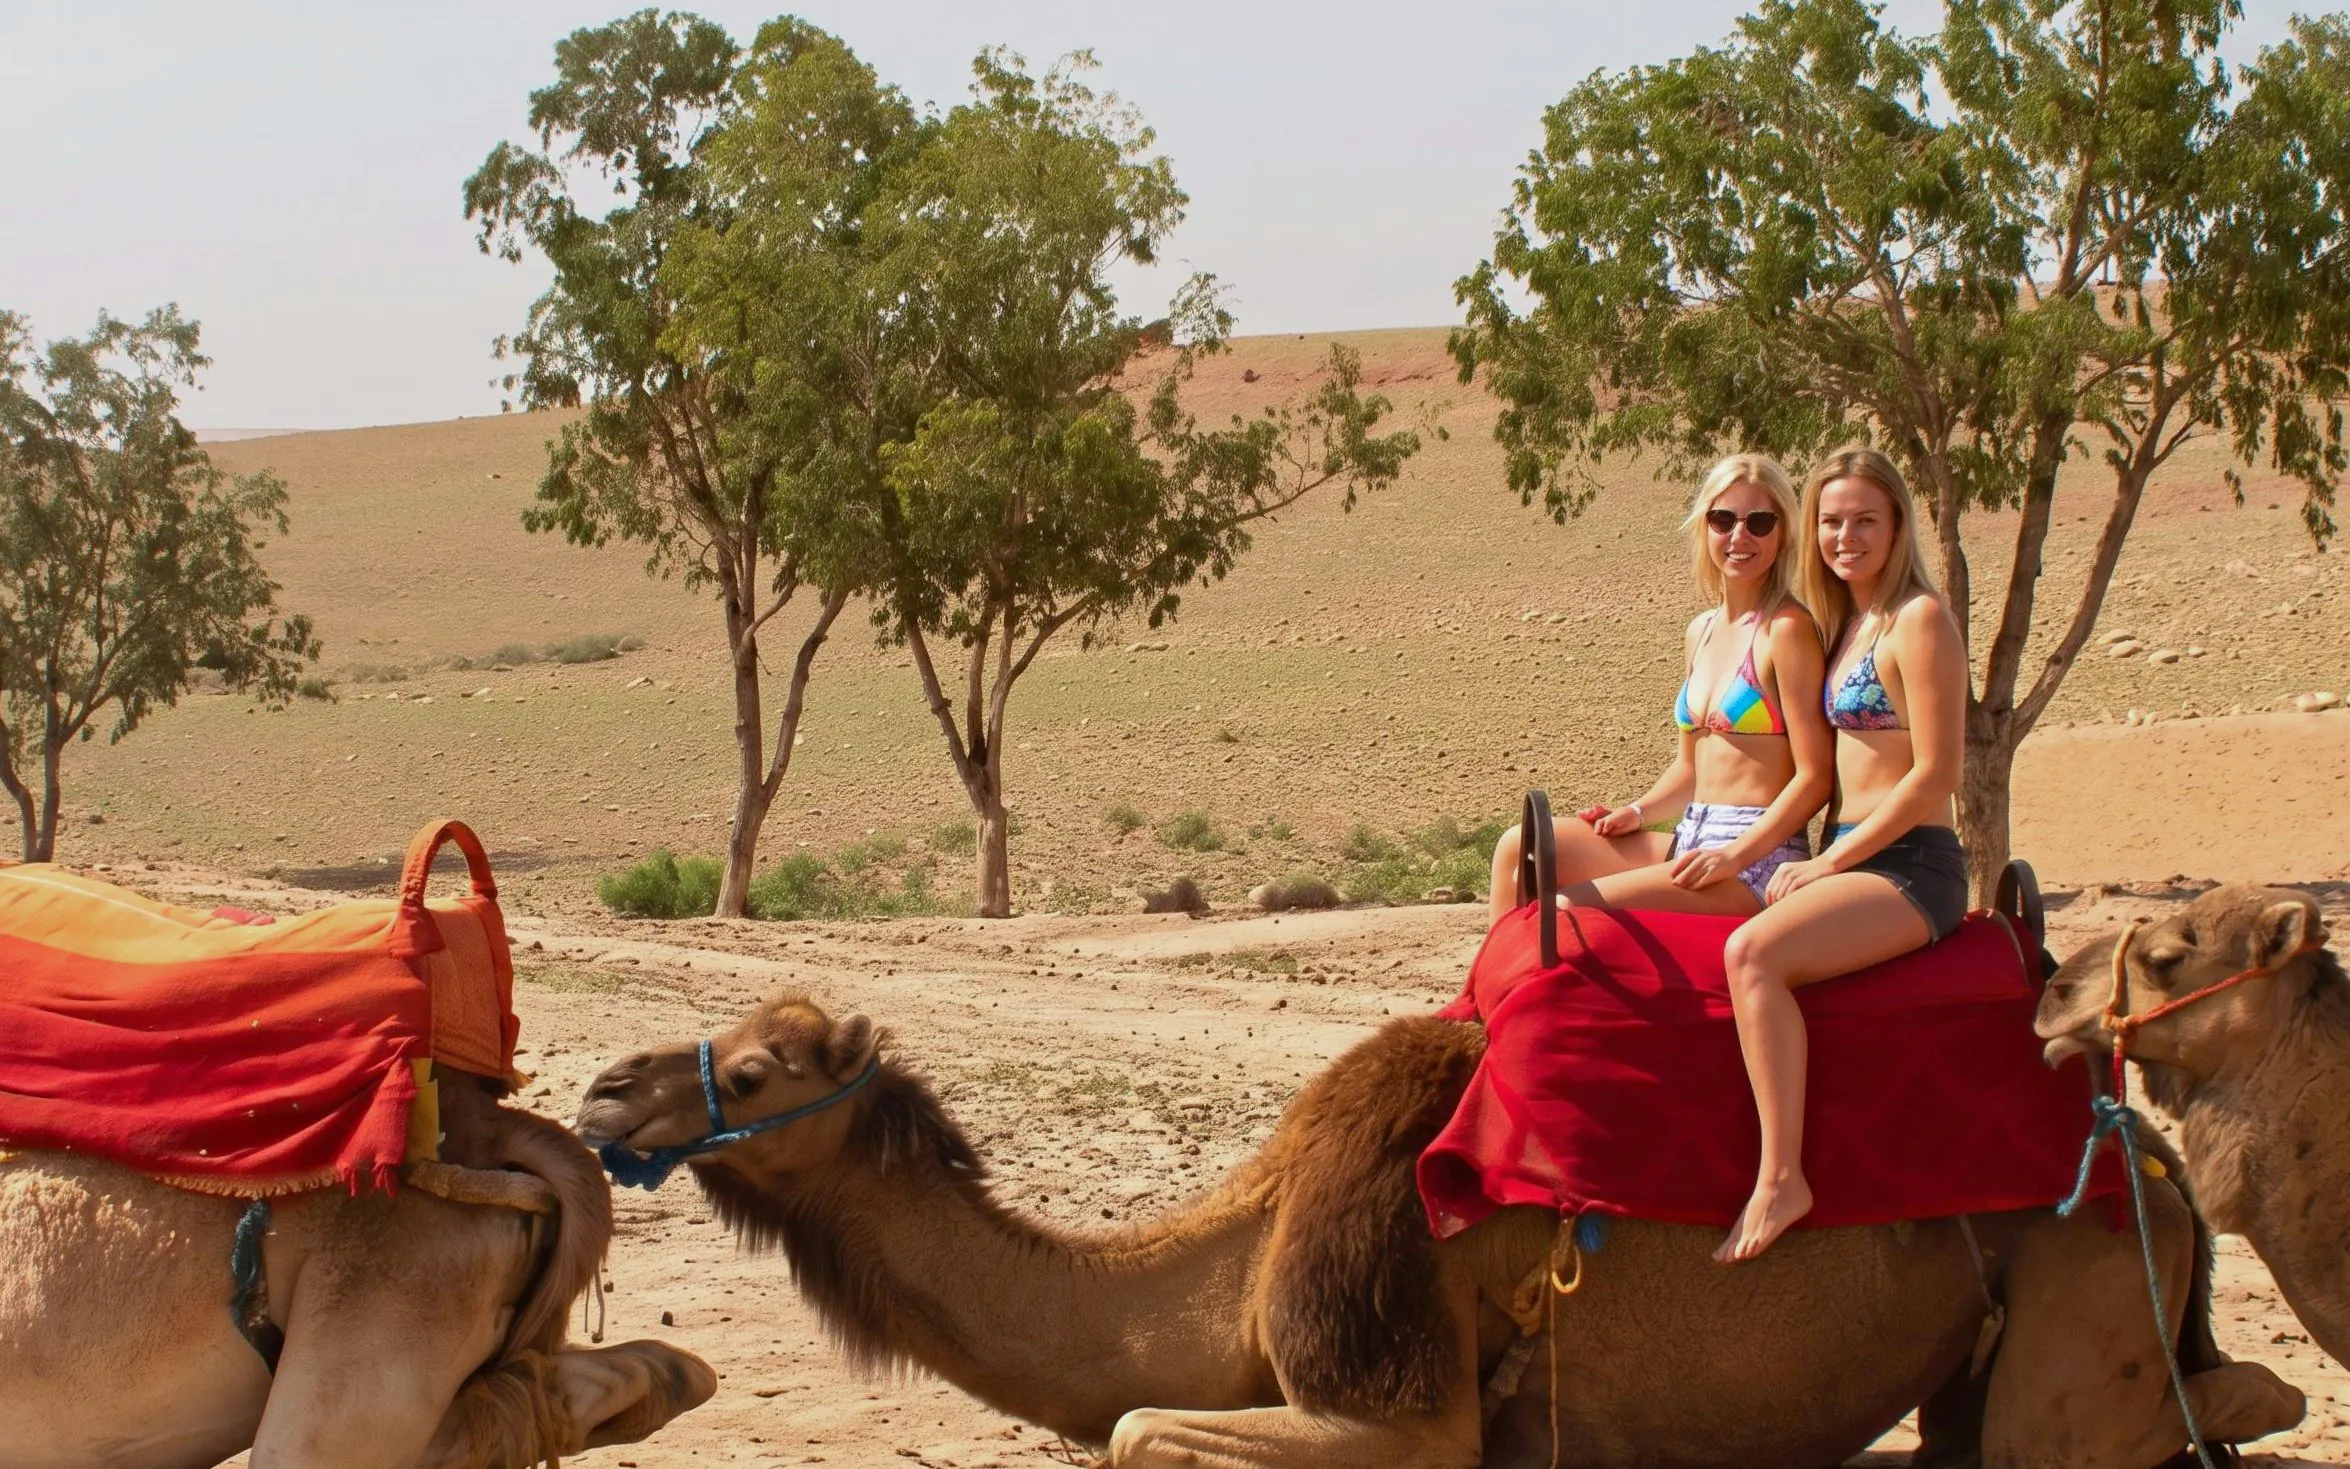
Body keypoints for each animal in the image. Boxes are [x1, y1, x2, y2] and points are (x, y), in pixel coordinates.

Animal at [576, 991, 2308, 1469]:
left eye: (754, 1069)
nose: (601, 1089)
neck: (1242, 1242)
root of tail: (2145, 1147)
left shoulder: (1397, 1401)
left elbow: (1132, 1426)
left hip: (2078, 1277)